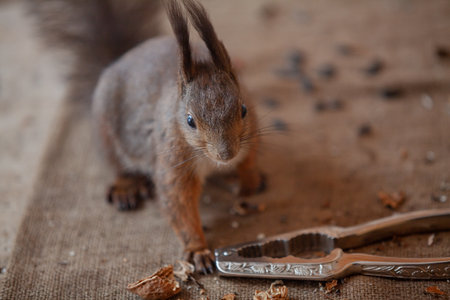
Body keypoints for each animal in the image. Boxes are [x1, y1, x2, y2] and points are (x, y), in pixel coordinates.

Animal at [33, 0, 266, 274]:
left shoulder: (250, 136)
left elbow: (248, 160)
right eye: (190, 120)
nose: (226, 154)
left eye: (243, 109)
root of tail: (121, 58)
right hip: (105, 132)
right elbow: (178, 202)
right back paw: (126, 187)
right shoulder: (172, 162)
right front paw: (198, 249)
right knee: (117, 165)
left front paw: (249, 181)